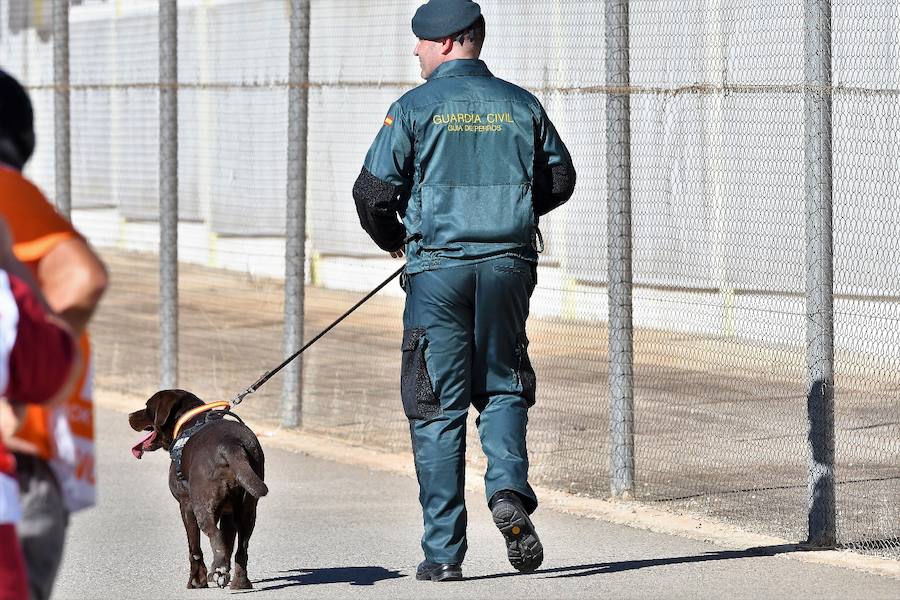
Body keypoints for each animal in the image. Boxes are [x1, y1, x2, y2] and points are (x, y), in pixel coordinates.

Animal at [127, 390, 268, 592]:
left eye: (147, 407)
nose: (130, 415)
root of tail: (232, 445)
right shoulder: (227, 513)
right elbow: (228, 542)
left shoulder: (186, 505)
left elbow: (194, 549)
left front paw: (196, 581)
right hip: (248, 509)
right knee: (242, 548)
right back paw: (239, 582)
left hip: (203, 505)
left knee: (214, 535)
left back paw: (219, 570)